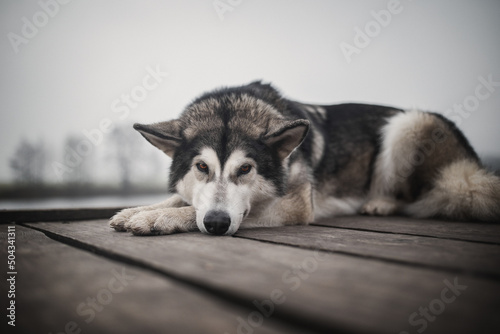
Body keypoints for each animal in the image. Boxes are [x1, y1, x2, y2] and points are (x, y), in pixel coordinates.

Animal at [110, 81, 500, 235]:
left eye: (245, 169)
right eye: (202, 167)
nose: (217, 224)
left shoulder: (294, 206)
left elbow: (192, 209)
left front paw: (162, 218)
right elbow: (183, 198)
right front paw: (137, 211)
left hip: (408, 124)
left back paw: (380, 203)